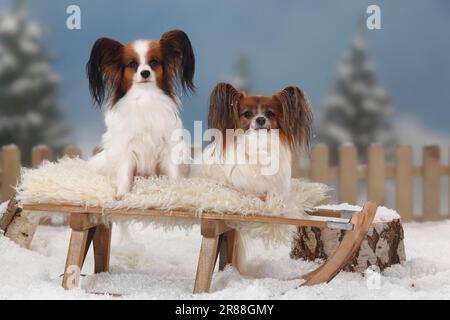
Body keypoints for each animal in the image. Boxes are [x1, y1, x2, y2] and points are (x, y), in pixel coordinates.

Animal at [87, 30, 194, 200]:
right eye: (133, 64)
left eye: (154, 62)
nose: (145, 72)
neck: (145, 97)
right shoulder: (127, 148)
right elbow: (125, 173)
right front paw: (121, 194)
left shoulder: (168, 145)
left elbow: (173, 172)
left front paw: (176, 191)